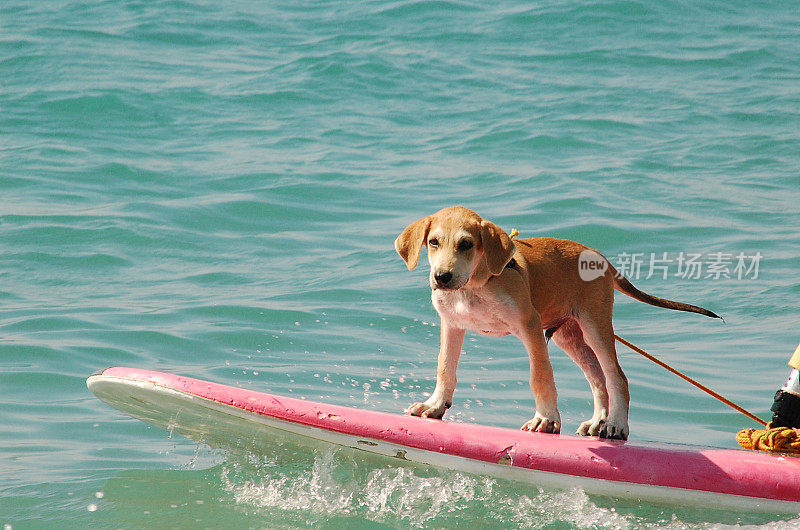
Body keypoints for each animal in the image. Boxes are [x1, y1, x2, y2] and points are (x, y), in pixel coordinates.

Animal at [394, 205, 720, 438]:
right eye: (433, 242)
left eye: (466, 244)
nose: (442, 277)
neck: (476, 285)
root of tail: (601, 258)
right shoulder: (452, 325)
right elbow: (445, 367)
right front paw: (435, 404)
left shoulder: (530, 326)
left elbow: (540, 375)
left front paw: (546, 419)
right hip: (570, 335)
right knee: (597, 378)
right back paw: (597, 422)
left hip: (595, 326)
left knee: (616, 376)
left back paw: (616, 425)